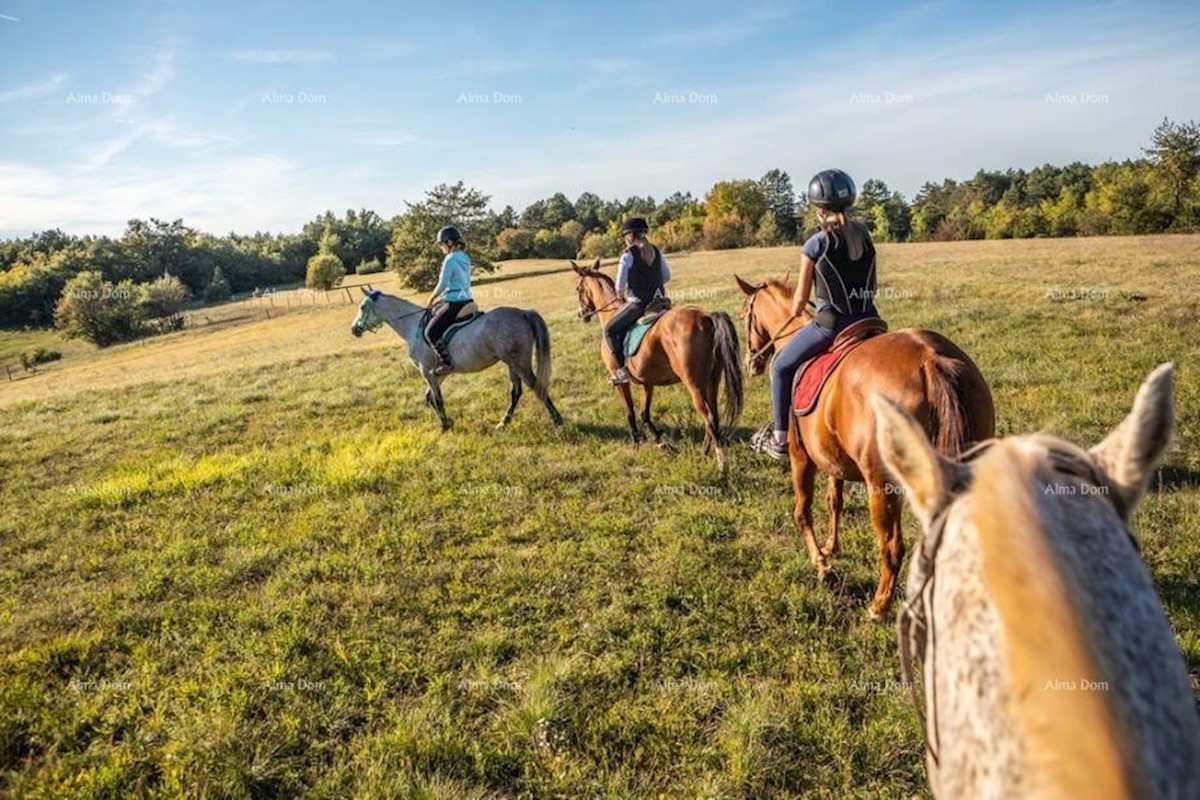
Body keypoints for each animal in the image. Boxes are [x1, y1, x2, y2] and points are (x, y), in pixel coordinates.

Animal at [350, 287, 566, 431]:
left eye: (362, 307)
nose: (354, 330)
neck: (412, 326)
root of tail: (522, 312)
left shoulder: (425, 370)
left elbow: (437, 399)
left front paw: (445, 426)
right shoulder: (438, 372)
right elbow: (429, 397)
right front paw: (448, 422)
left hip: (519, 362)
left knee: (536, 387)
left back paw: (557, 420)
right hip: (511, 363)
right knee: (516, 392)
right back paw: (503, 423)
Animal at [568, 260, 739, 470]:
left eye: (578, 289)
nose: (581, 313)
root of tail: (706, 317)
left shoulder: (620, 381)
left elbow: (630, 412)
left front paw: (636, 443)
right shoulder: (646, 382)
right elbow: (645, 413)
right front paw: (660, 441)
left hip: (695, 385)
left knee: (709, 418)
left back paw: (721, 463)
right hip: (712, 381)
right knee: (713, 416)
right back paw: (704, 453)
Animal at [729, 275, 993, 618]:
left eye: (743, 315)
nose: (752, 363)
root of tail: (931, 359)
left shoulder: (802, 459)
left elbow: (802, 512)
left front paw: (822, 566)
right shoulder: (833, 459)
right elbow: (834, 502)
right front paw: (831, 547)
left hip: (882, 484)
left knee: (892, 546)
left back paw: (879, 606)